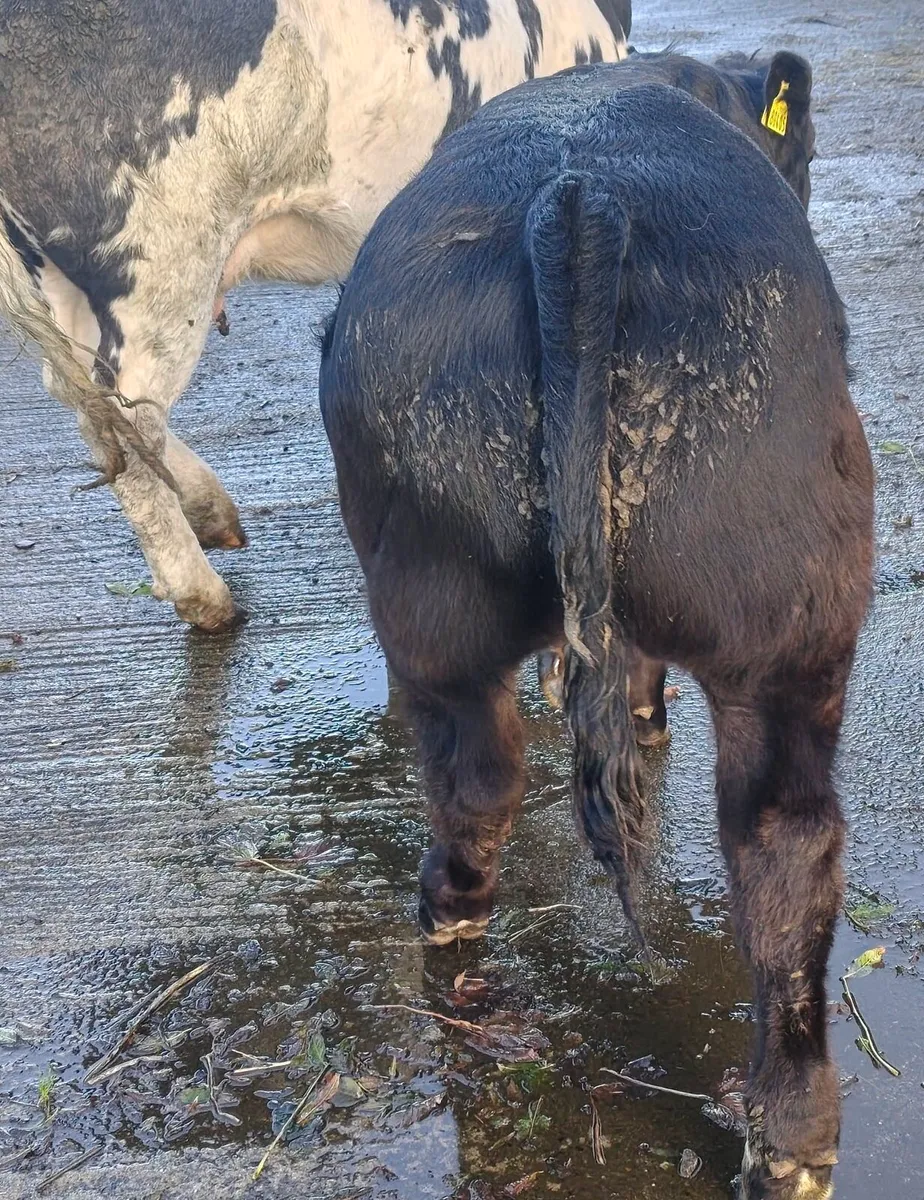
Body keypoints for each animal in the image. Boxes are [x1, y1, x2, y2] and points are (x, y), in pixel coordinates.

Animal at [0, 0, 631, 632]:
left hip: (61, 278)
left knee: (89, 401)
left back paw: (215, 517)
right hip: (162, 263)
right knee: (130, 425)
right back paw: (210, 600)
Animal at [319, 52, 875, 1200]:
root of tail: (577, 198)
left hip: (431, 604)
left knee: (485, 775)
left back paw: (453, 915)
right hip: (798, 615)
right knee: (785, 847)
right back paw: (793, 1137)